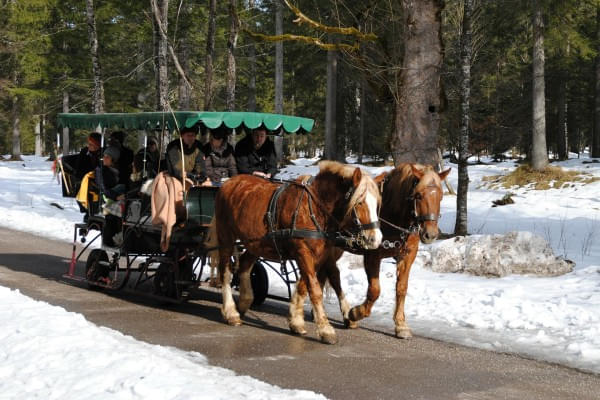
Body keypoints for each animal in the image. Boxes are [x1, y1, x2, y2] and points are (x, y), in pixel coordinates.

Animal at [211, 162, 380, 344]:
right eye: (360, 202)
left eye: (377, 204)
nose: (375, 239)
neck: (314, 209)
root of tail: (228, 182)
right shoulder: (303, 252)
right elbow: (314, 289)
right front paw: (325, 329)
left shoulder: (319, 255)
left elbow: (305, 285)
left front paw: (296, 321)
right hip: (226, 237)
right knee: (225, 272)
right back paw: (231, 312)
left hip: (255, 243)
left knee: (244, 265)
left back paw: (244, 302)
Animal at [298, 162, 448, 338]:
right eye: (418, 195)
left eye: (440, 196)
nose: (430, 234)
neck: (393, 212)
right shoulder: (372, 255)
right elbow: (375, 290)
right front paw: (356, 312)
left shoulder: (408, 255)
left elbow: (401, 288)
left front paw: (401, 324)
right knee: (333, 276)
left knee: (325, 274)